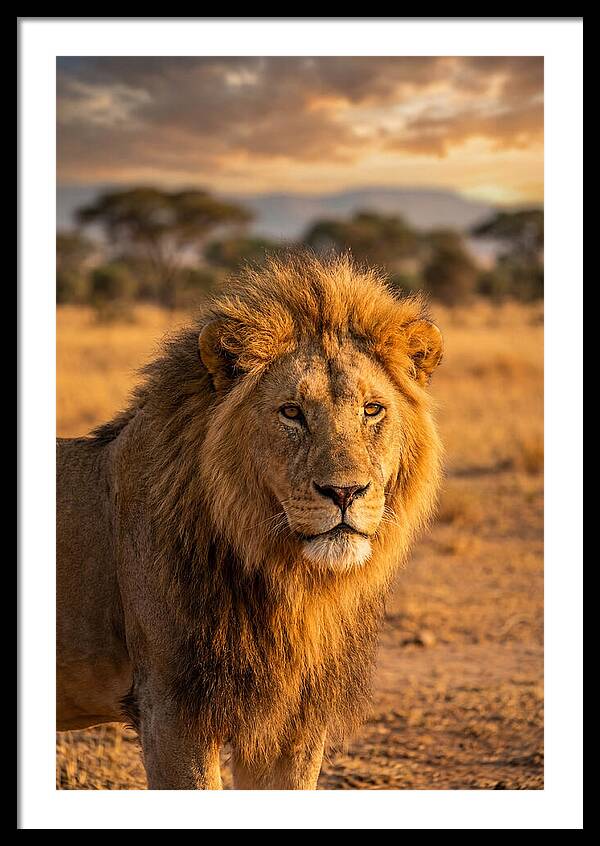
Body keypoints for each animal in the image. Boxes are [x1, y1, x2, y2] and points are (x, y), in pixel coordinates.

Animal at [57, 252, 443, 790]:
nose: (344, 492)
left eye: (372, 409)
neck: (290, 583)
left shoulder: (293, 722)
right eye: (291, 412)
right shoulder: (171, 710)